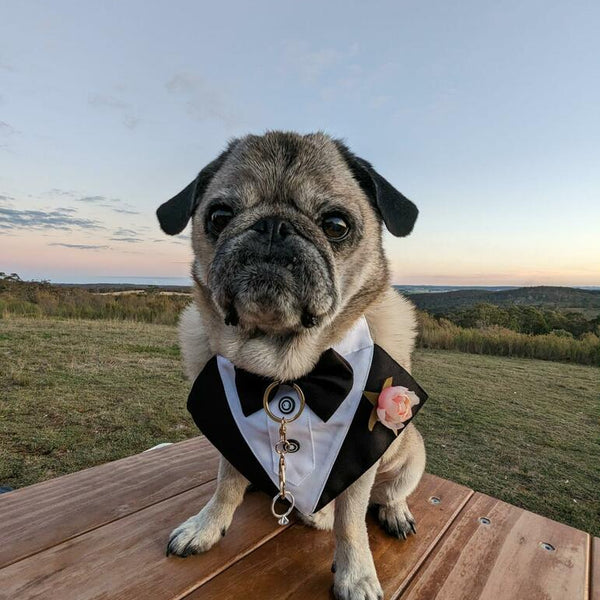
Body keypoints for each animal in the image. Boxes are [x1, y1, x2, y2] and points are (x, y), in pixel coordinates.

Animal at [157, 132, 424, 600]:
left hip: (412, 451)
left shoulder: (361, 453)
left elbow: (351, 520)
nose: (273, 226)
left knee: (387, 495)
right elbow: (225, 484)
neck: (286, 369)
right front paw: (206, 527)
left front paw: (356, 575)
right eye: (219, 216)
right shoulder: (228, 430)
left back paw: (388, 513)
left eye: (336, 225)